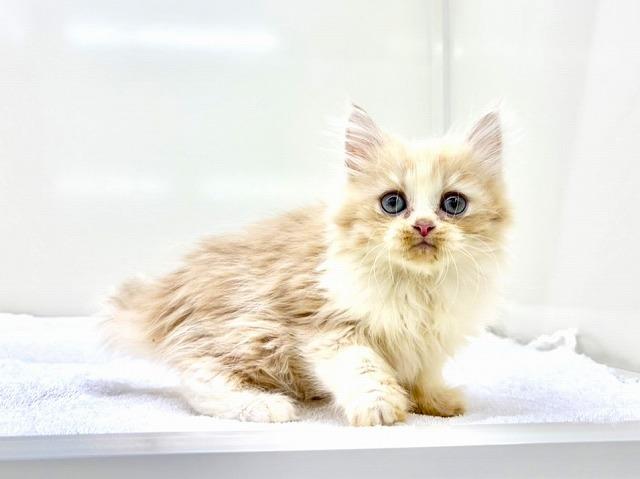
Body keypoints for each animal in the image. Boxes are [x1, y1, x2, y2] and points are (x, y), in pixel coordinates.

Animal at [104, 104, 511, 426]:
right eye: (393, 203)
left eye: (453, 204)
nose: (424, 226)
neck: (419, 285)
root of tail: (164, 295)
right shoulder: (326, 325)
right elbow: (363, 368)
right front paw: (380, 408)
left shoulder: (430, 341)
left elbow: (424, 376)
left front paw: (435, 402)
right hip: (252, 332)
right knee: (199, 381)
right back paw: (268, 406)